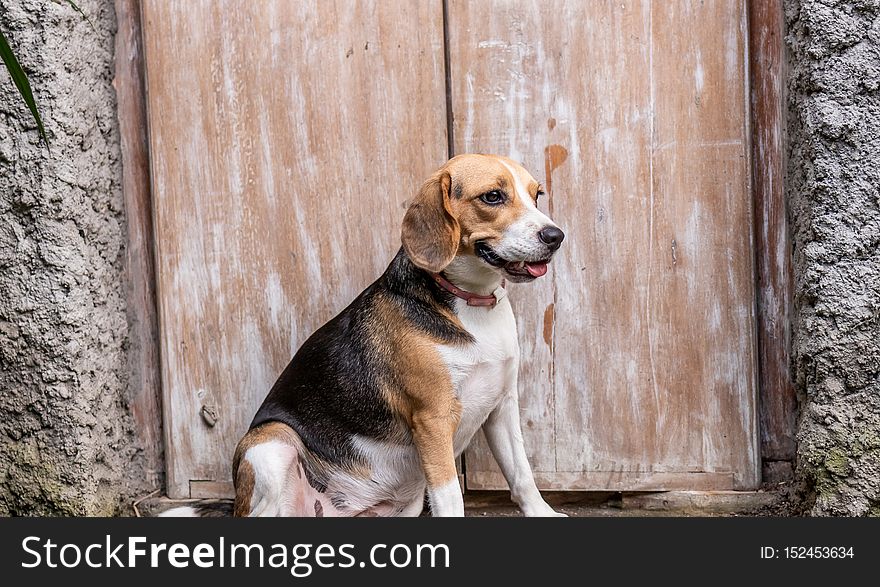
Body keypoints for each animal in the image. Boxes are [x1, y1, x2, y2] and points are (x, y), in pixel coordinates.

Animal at [232, 154, 564, 516]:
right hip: (272, 443)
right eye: (492, 196)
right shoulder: (433, 419)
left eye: (536, 195)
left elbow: (522, 474)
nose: (556, 236)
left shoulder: (502, 406)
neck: (472, 302)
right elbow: (451, 496)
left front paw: (543, 513)